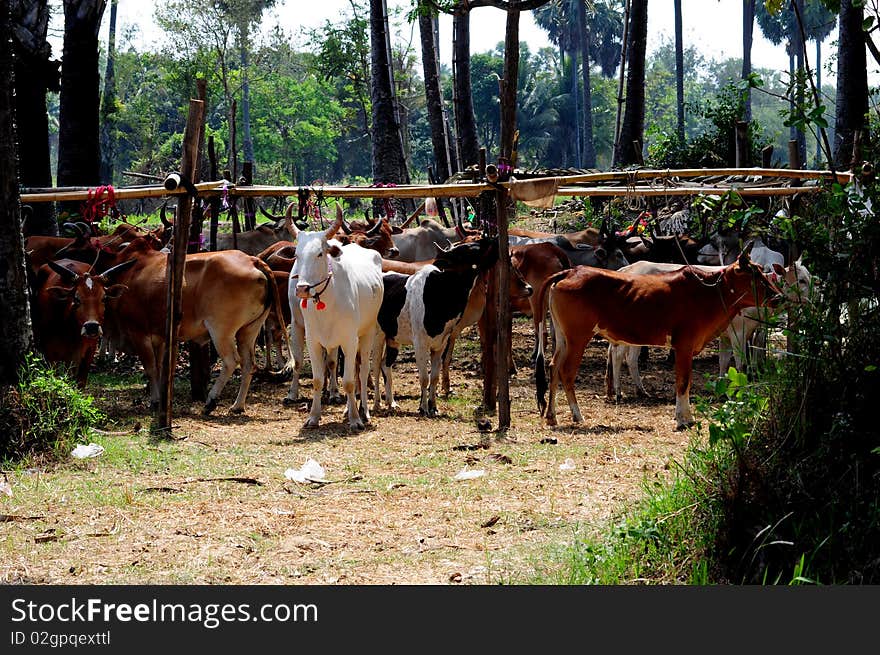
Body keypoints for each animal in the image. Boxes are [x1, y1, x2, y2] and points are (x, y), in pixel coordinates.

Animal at [32, 258, 135, 390]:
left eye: (104, 298)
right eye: (76, 298)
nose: (92, 327)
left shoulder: (88, 353)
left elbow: (80, 383)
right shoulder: (50, 356)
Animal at [288, 205, 384, 430]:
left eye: (320, 253)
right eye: (297, 255)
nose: (302, 288)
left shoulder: (350, 340)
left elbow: (349, 381)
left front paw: (356, 419)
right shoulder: (313, 341)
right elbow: (317, 379)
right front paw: (313, 417)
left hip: (367, 333)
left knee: (363, 369)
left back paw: (363, 410)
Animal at [532, 246, 780, 430]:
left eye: (762, 271)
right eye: (755, 274)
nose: (777, 297)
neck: (707, 292)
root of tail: (570, 272)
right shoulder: (684, 346)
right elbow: (683, 382)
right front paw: (683, 418)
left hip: (563, 338)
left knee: (553, 367)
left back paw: (552, 415)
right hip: (578, 338)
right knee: (567, 372)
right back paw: (577, 415)